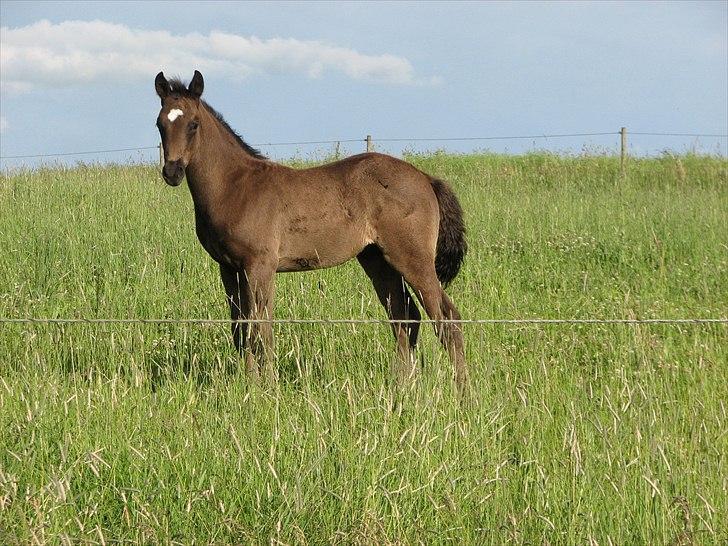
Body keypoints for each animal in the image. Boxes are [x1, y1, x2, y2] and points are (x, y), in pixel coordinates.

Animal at [156, 70, 470, 394]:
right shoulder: (230, 268)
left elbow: (262, 329)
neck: (235, 186)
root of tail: (425, 178)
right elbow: (241, 329)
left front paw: (268, 389)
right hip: (377, 260)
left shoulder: (260, 266)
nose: (172, 172)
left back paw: (463, 393)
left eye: (193, 124)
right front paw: (250, 385)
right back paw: (403, 388)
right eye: (160, 124)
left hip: (412, 259)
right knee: (405, 317)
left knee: (447, 318)